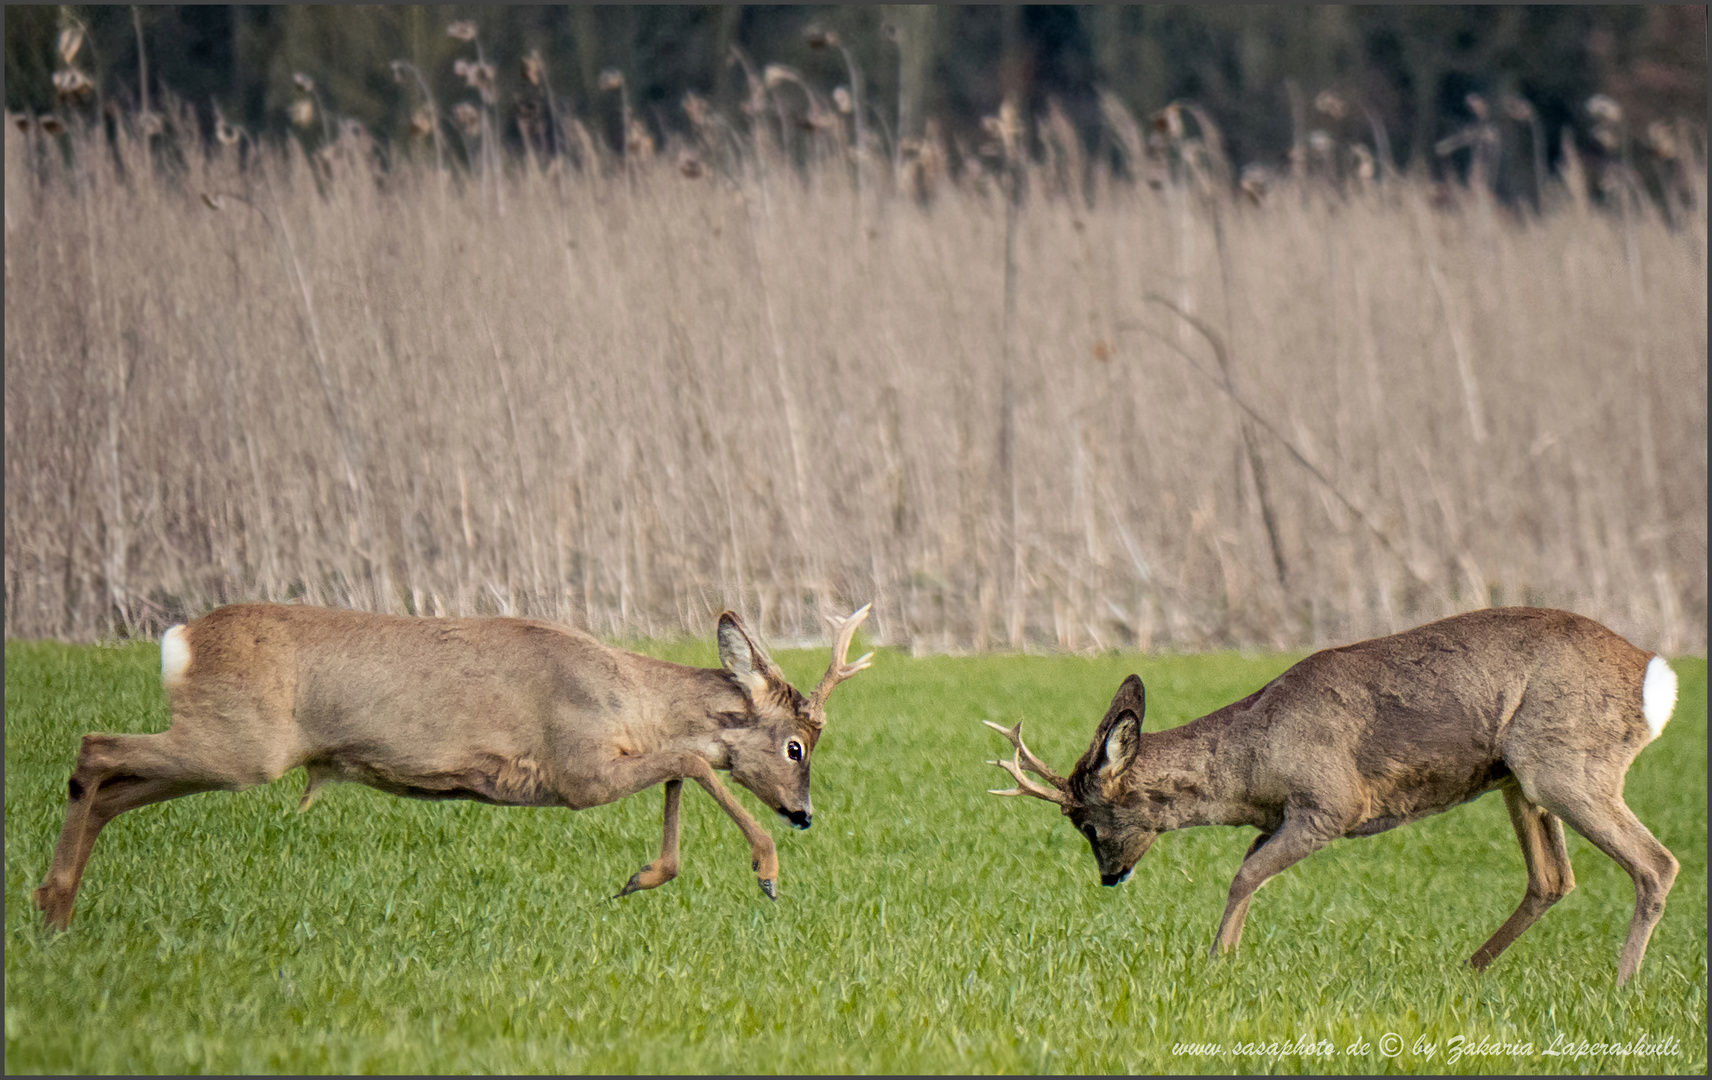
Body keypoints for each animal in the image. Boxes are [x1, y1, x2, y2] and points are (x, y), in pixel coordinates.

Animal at [35, 599, 876, 931]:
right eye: (797, 746)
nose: (804, 814)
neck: (624, 699)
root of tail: (180, 640)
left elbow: (682, 764)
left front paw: (643, 876)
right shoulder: (575, 771)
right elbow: (692, 763)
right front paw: (766, 872)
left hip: (222, 745)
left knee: (108, 787)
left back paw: (55, 911)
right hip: (241, 744)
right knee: (94, 749)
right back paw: (52, 902)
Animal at [986, 609, 1677, 985]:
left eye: (1087, 823)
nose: (1109, 877)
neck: (1255, 763)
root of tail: (1653, 673)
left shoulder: (1330, 804)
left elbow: (1245, 875)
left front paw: (1216, 965)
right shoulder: (1276, 818)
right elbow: (1249, 869)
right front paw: (1224, 959)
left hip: (1563, 765)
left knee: (1656, 864)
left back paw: (1621, 986)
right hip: (1517, 778)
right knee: (1552, 878)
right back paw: (1467, 971)